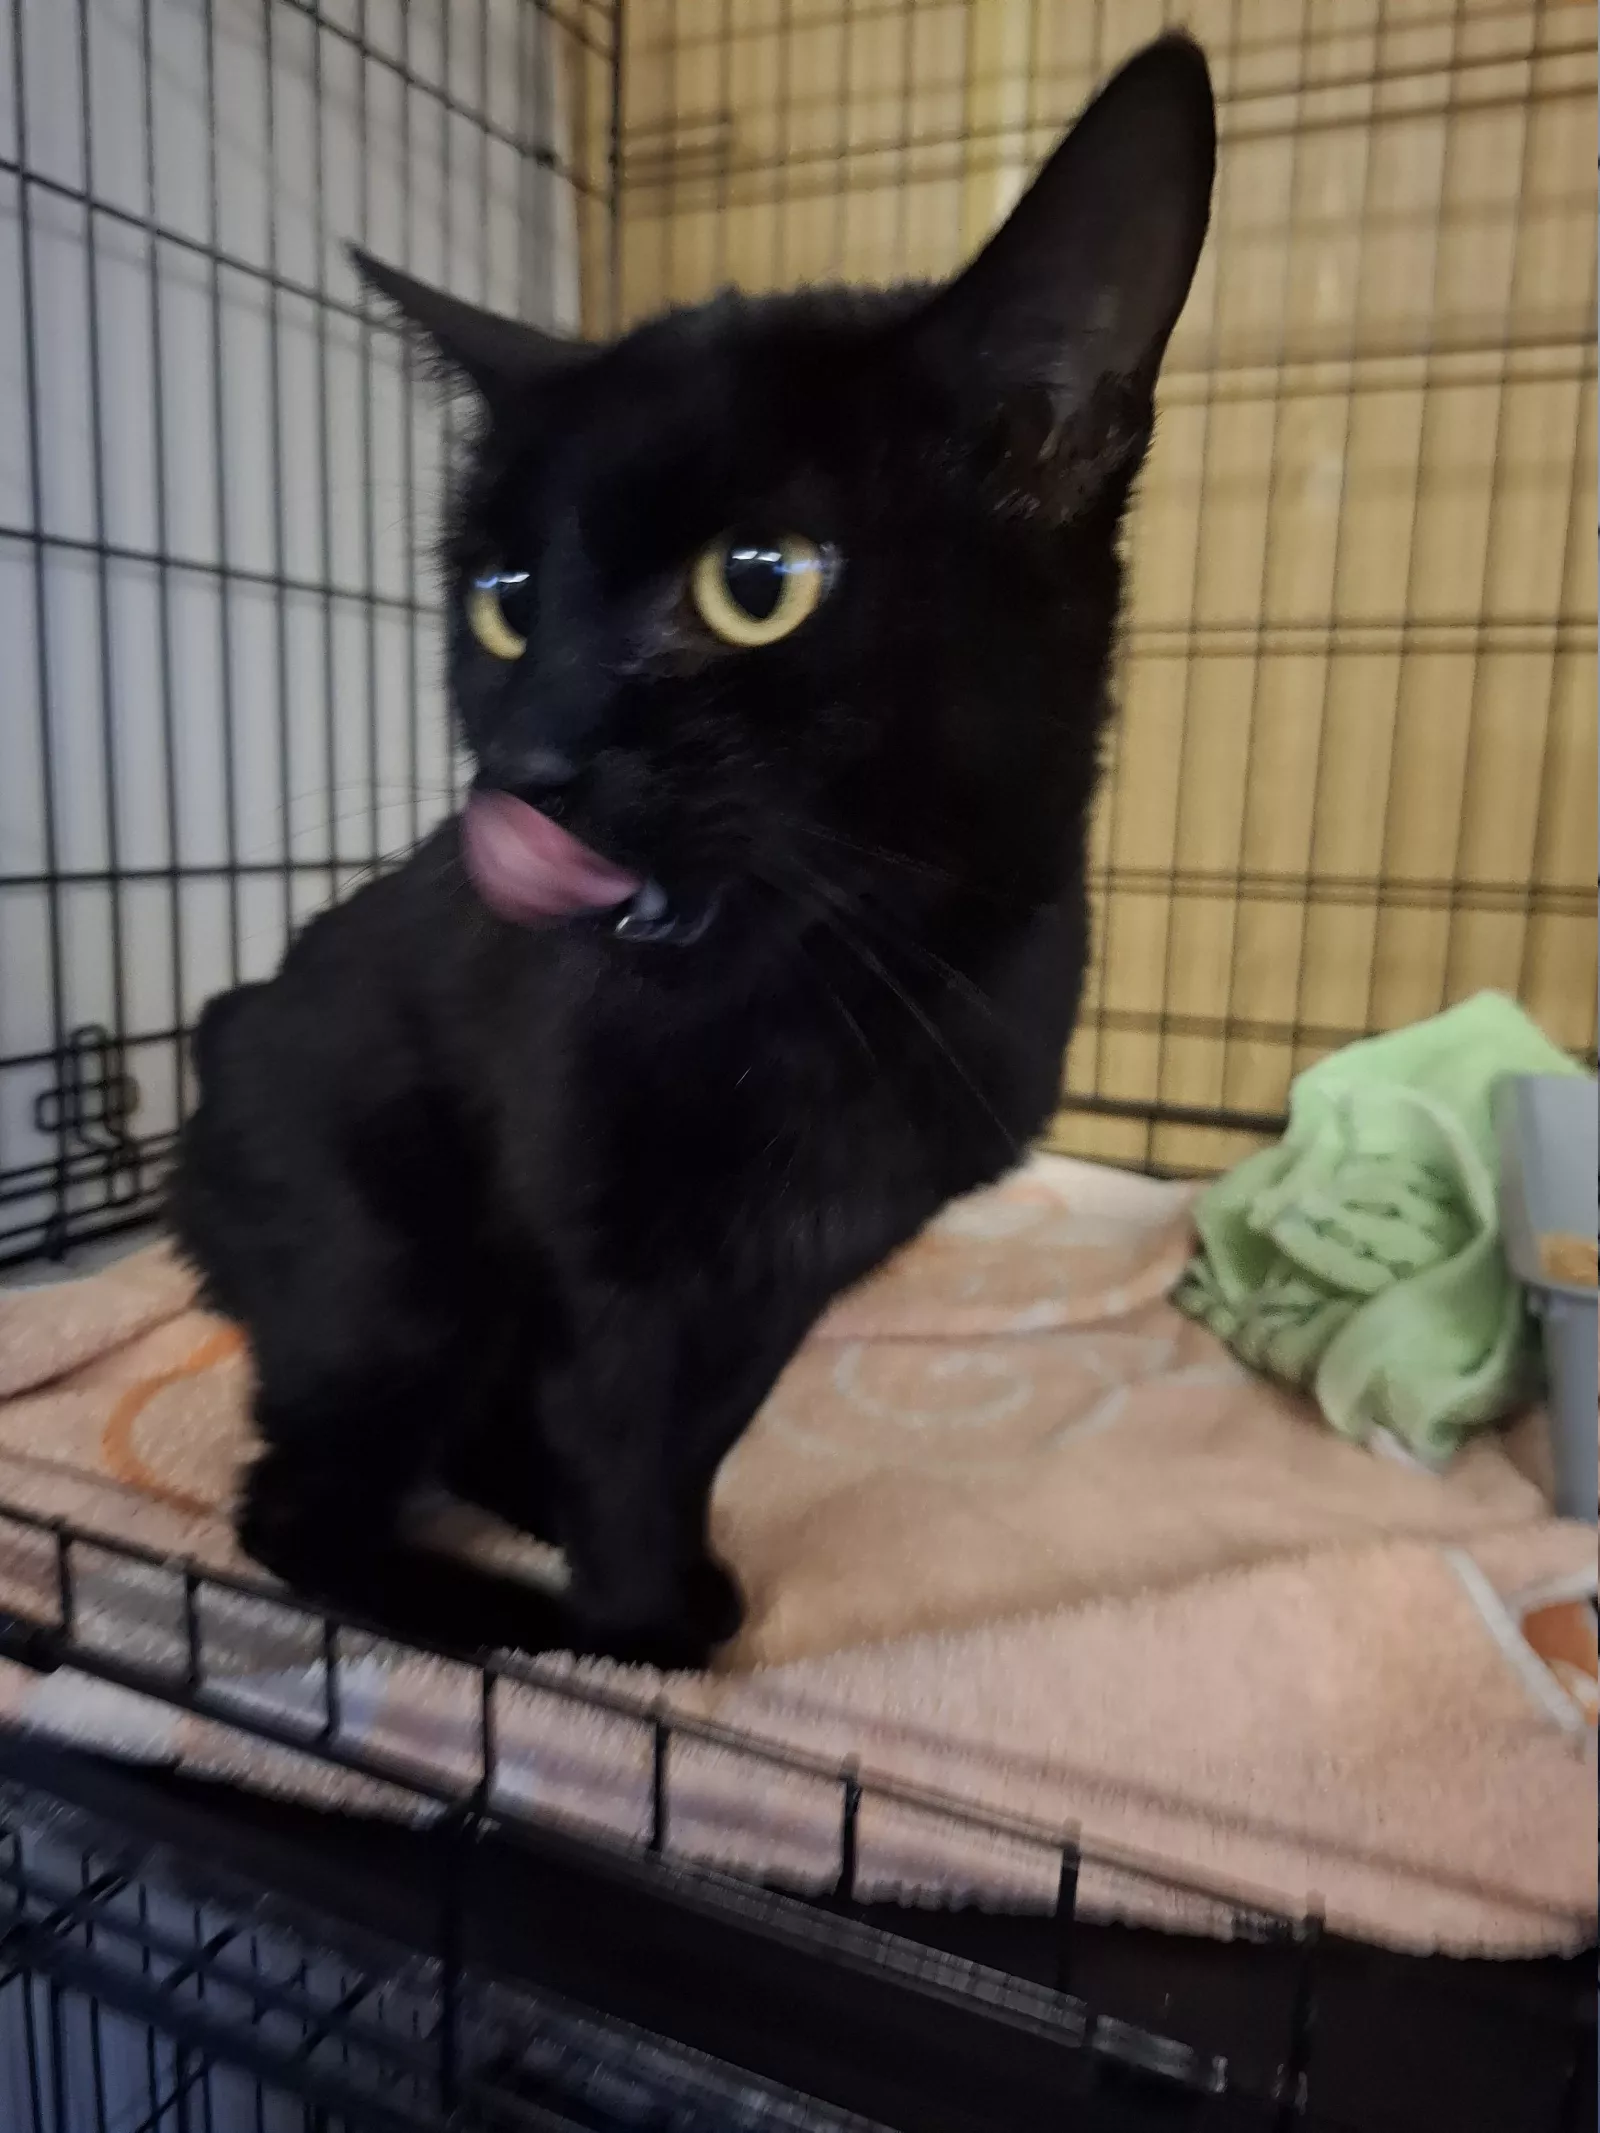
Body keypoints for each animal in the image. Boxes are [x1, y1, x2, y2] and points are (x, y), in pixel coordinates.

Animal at [169, 35, 1215, 1669]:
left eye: (758, 582)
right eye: (504, 599)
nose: (525, 766)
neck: (842, 989)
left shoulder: (782, 1284)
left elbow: (699, 1431)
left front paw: (668, 1578)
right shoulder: (611, 1264)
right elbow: (626, 1442)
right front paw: (642, 1637)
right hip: (394, 1269)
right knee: (294, 1505)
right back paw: (491, 1616)